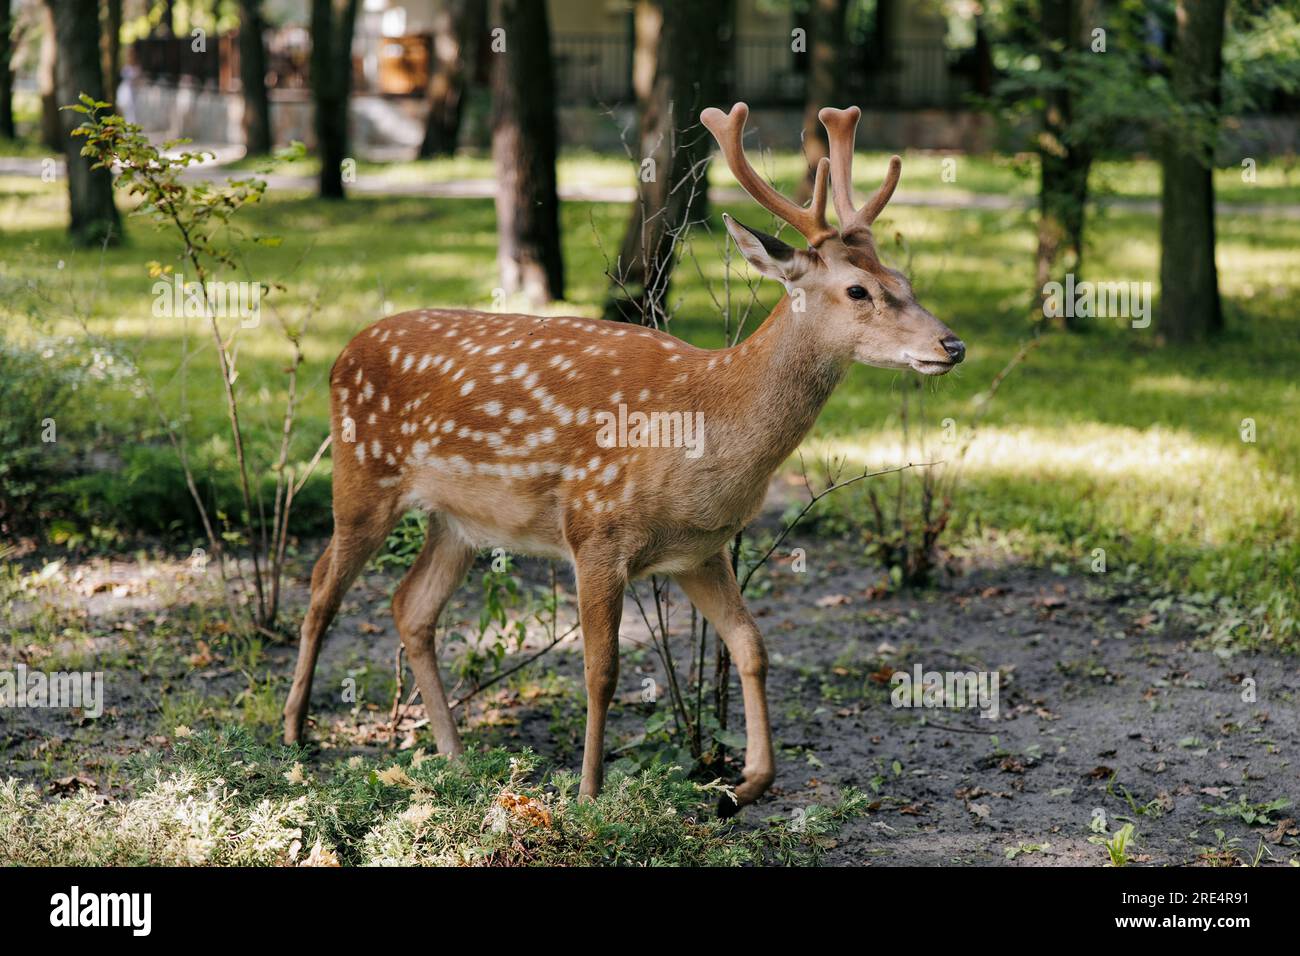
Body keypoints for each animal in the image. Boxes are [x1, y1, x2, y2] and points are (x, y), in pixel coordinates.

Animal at [283, 102, 965, 815]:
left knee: (410, 607)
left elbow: (751, 645)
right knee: (322, 587)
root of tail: (342, 354)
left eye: (905, 281)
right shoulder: (595, 528)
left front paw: (747, 782)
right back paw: (296, 736)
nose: (953, 344)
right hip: (362, 475)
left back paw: (455, 757)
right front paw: (588, 795)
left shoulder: (699, 549)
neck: (703, 430)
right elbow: (602, 670)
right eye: (859, 290)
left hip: (456, 522)